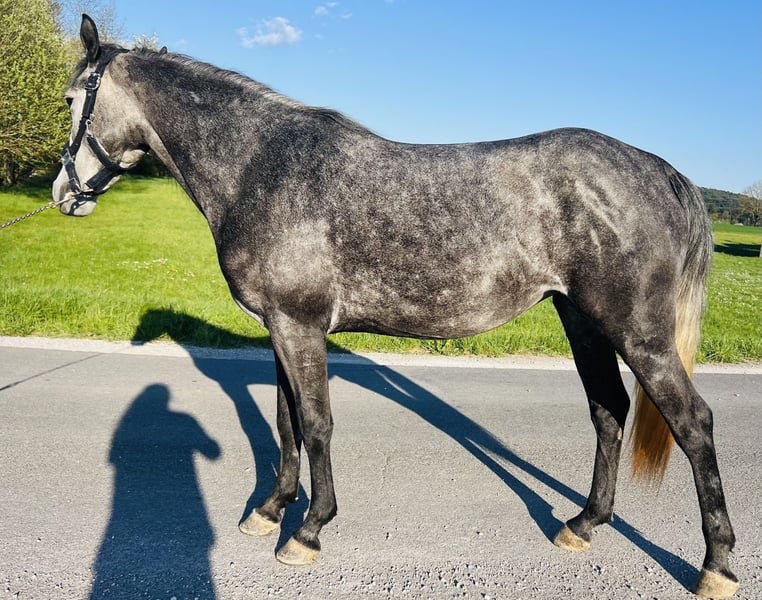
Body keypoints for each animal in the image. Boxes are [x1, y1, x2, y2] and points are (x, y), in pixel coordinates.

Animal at [52, 15, 738, 598]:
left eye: (69, 100)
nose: (63, 193)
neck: (261, 168)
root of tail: (657, 168)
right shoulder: (279, 328)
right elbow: (286, 422)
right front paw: (270, 510)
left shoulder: (299, 327)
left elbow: (317, 425)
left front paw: (308, 531)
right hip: (583, 321)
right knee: (609, 411)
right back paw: (584, 523)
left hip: (638, 333)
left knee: (693, 422)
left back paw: (716, 565)